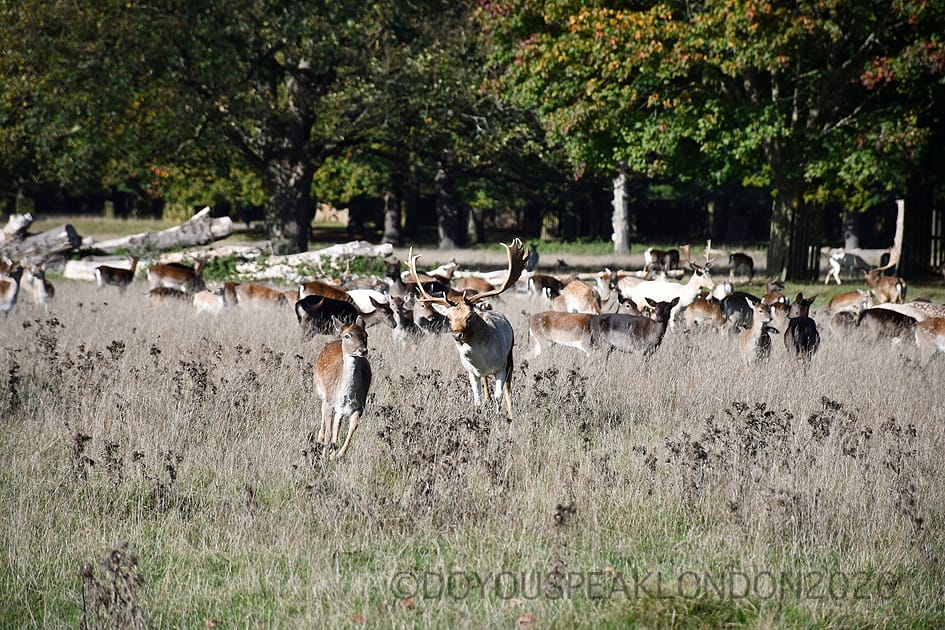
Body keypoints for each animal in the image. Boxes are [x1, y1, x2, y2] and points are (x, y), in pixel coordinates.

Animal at [314, 316, 372, 459]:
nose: (363, 350)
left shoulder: (359, 406)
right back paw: (320, 443)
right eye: (347, 336)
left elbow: (352, 427)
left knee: (336, 424)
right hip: (323, 395)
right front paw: (324, 456)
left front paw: (339, 454)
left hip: (339, 409)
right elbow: (328, 431)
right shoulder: (329, 402)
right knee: (324, 423)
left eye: (366, 335)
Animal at [407, 238, 528, 417]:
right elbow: (477, 399)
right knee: (486, 390)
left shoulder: (500, 366)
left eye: (469, 316)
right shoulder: (472, 372)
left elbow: (499, 396)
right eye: (449, 318)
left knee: (507, 388)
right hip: (486, 373)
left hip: (510, 357)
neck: (481, 360)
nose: (457, 334)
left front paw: (501, 417)